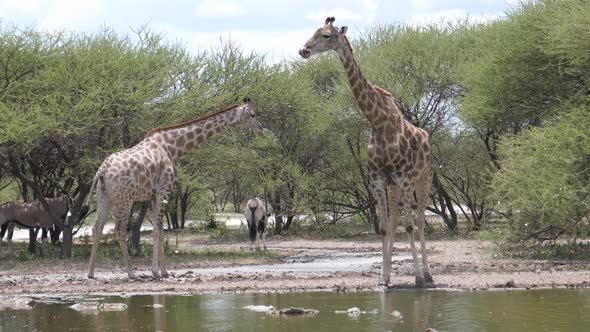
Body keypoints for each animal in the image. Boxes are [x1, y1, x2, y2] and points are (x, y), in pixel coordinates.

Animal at [88, 98, 264, 278]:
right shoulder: (164, 190)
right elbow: (156, 230)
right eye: (252, 114)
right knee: (120, 230)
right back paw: (131, 273)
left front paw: (163, 271)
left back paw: (91, 273)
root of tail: (102, 170)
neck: (174, 147)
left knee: (97, 228)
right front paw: (157, 272)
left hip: (104, 196)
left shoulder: (154, 195)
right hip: (124, 199)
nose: (261, 129)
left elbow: (161, 230)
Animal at [300, 17, 434, 288]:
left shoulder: (404, 178)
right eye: (315, 31)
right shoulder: (378, 178)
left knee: (420, 222)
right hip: (394, 186)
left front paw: (416, 277)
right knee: (395, 220)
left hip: (424, 177)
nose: (304, 50)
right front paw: (383, 278)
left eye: (327, 35)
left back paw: (427, 275)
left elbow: (409, 226)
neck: (378, 122)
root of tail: (427, 137)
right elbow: (384, 226)